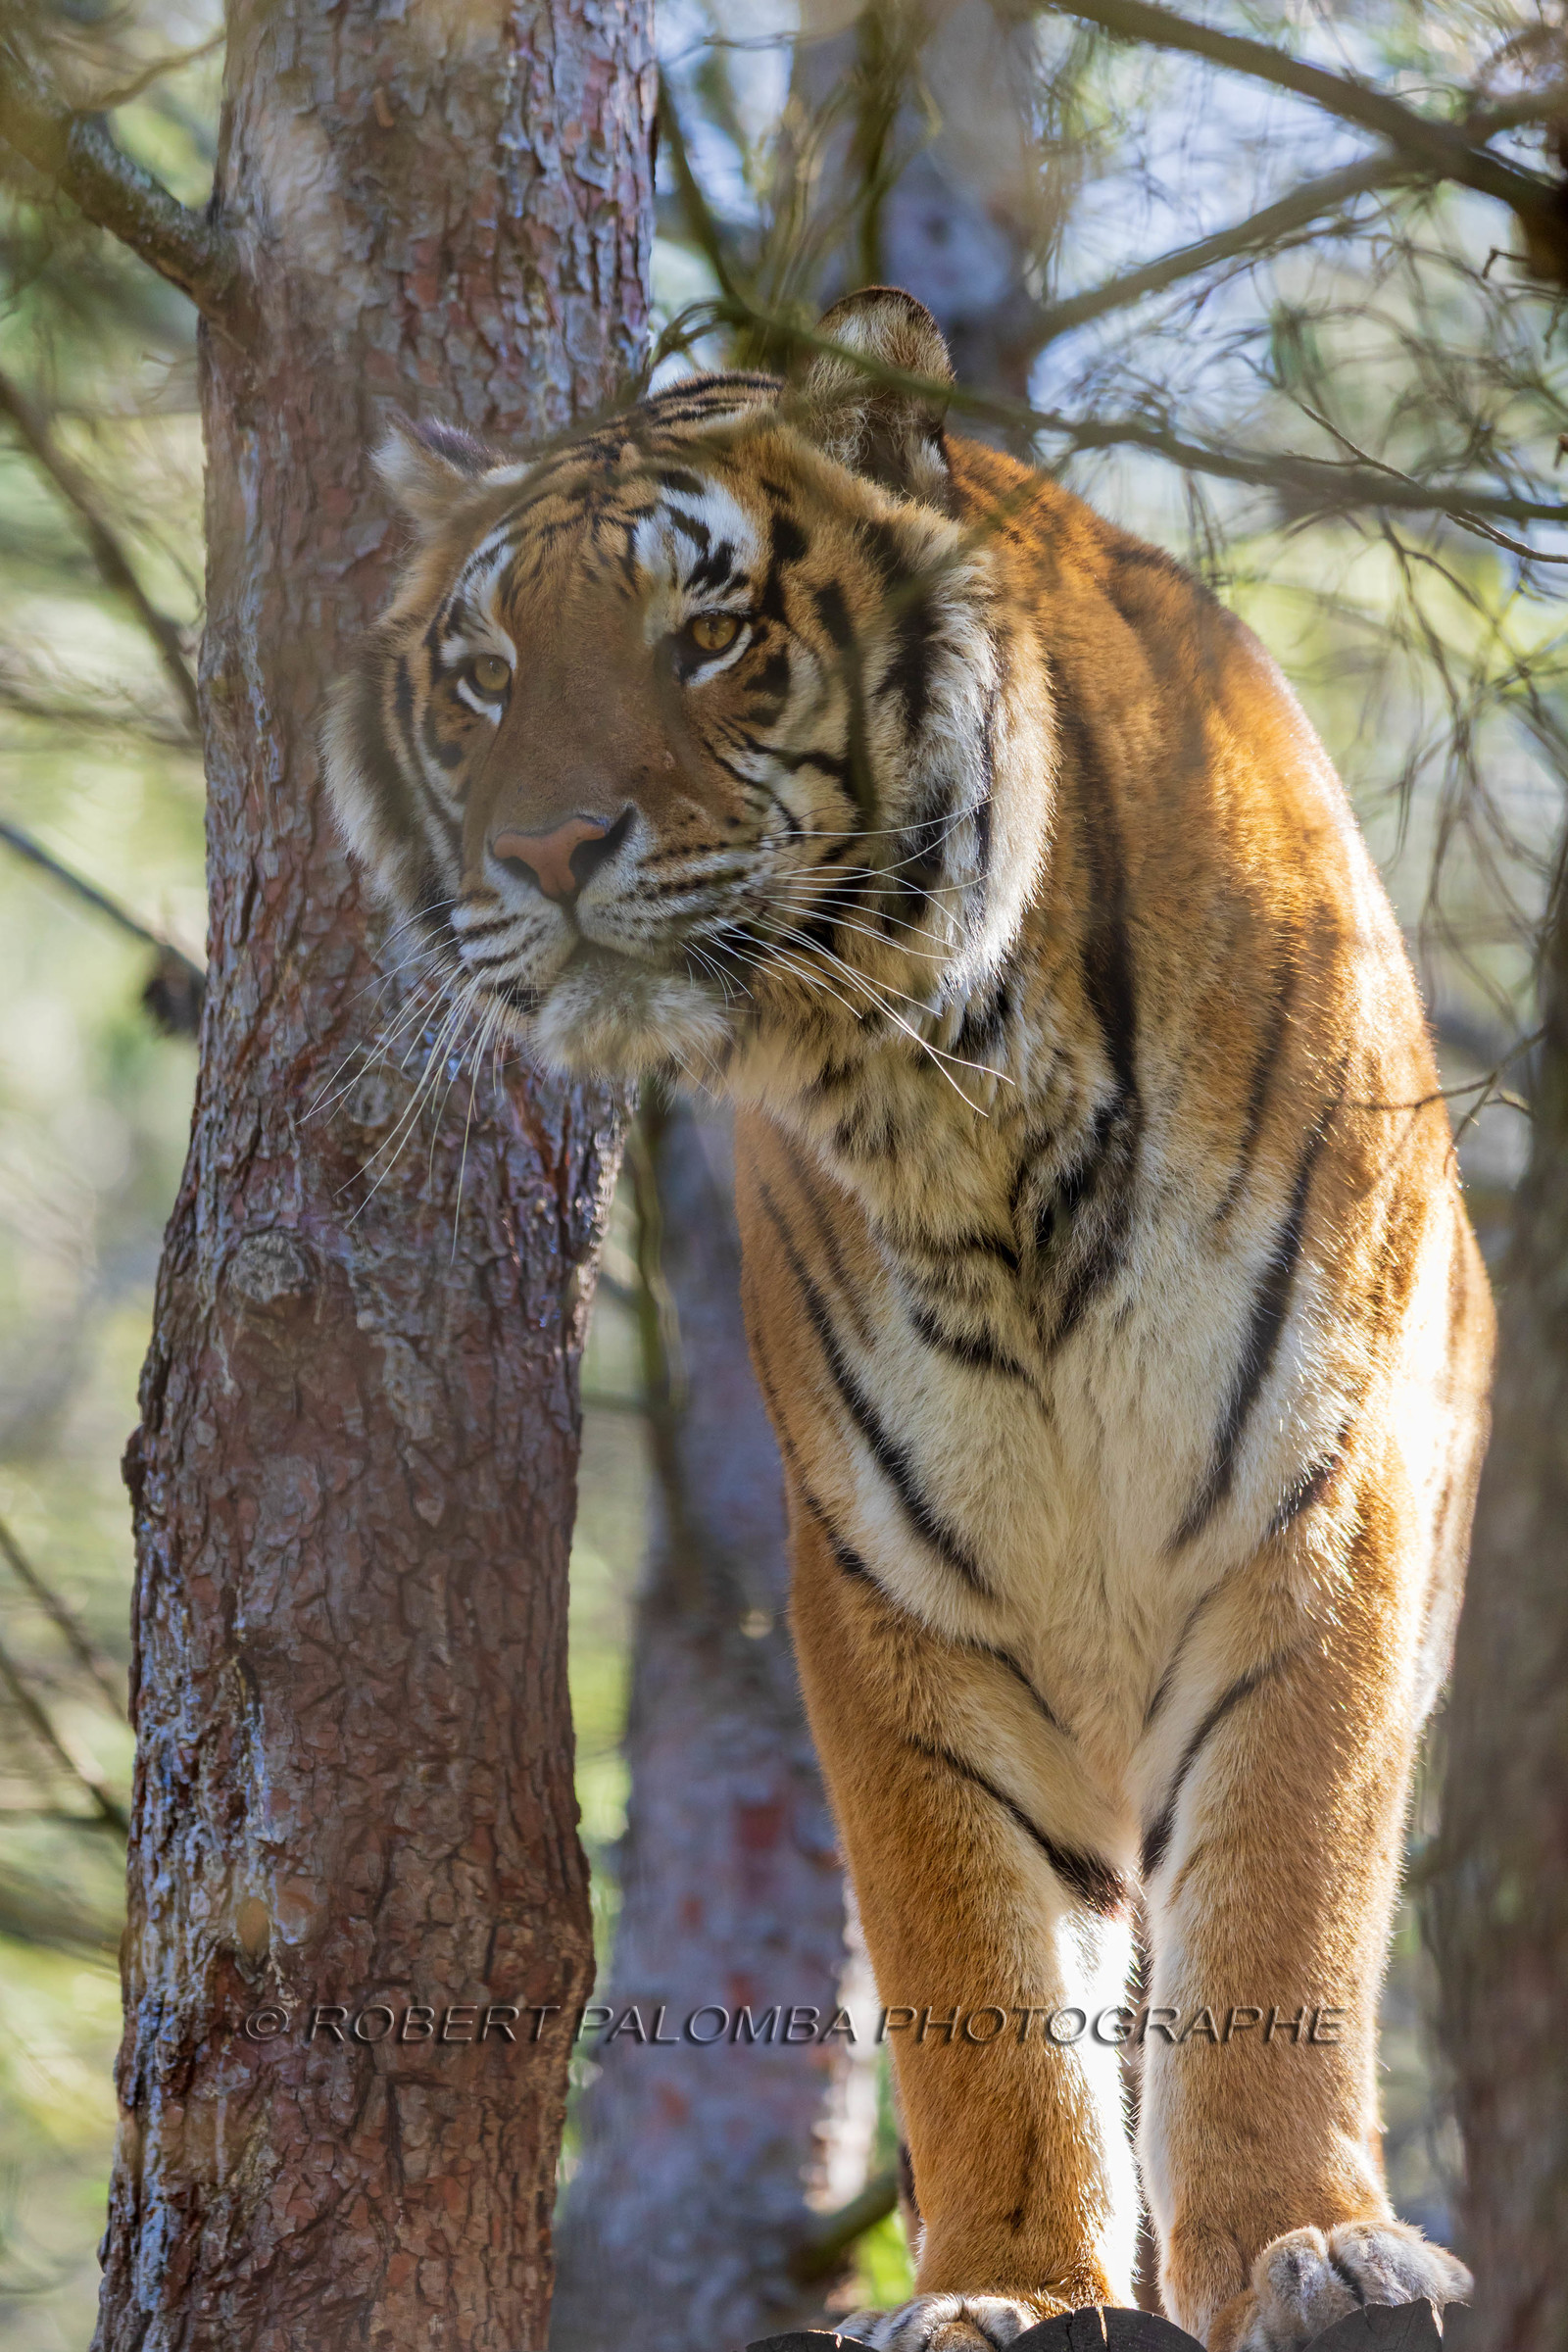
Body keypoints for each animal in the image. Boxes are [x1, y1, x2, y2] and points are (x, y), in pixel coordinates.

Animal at [325, 287, 1493, 2352]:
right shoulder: (891, 1579)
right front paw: (1003, 2288)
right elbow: (973, 1976)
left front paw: (1311, 2243)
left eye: (709, 632)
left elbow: (1281, 1907)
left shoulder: (1323, 1504)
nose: (543, 853)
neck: (959, 1097)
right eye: (481, 675)